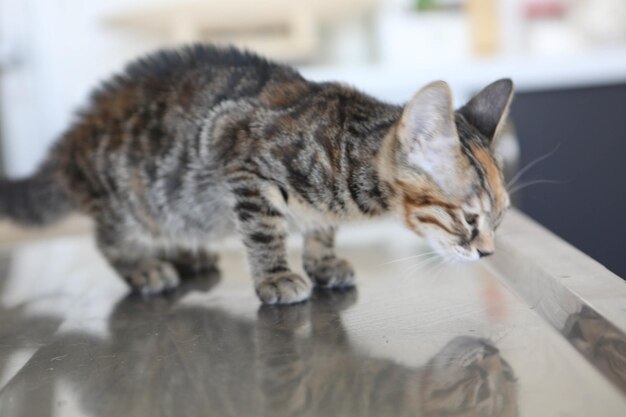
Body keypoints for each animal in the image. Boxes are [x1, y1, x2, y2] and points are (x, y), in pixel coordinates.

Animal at [0, 44, 512, 302]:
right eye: (469, 219)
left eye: (499, 220)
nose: (489, 253)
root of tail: (71, 138)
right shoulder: (242, 163)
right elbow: (265, 232)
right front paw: (277, 276)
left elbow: (321, 230)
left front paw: (322, 260)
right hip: (125, 199)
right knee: (111, 240)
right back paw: (146, 267)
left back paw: (186, 255)